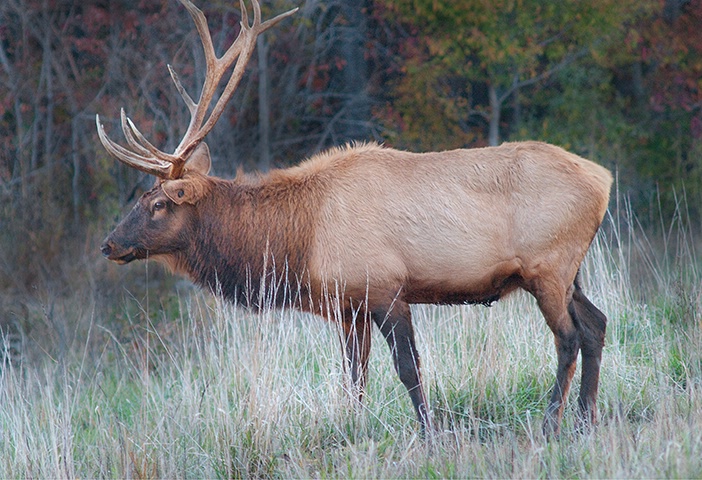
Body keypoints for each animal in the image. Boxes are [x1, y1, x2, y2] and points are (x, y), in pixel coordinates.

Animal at [96, 0, 612, 436]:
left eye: (158, 204)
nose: (109, 244)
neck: (300, 243)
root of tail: (603, 178)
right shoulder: (348, 307)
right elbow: (354, 377)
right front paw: (353, 427)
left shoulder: (385, 286)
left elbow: (408, 369)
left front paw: (430, 435)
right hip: (570, 271)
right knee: (597, 324)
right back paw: (585, 420)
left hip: (548, 266)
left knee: (568, 337)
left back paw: (550, 424)